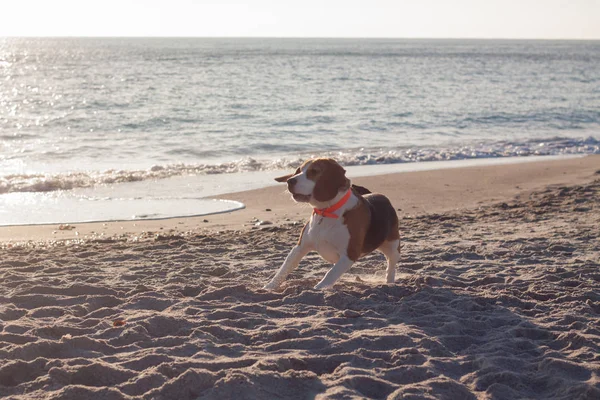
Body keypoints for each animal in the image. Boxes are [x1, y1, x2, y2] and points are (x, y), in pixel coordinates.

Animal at [264, 157, 400, 290]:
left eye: (314, 171)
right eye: (299, 170)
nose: (290, 181)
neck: (326, 212)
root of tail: (380, 195)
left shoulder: (349, 254)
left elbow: (331, 273)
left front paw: (319, 287)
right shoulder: (299, 248)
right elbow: (285, 267)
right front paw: (270, 286)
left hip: (393, 247)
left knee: (391, 266)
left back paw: (389, 282)